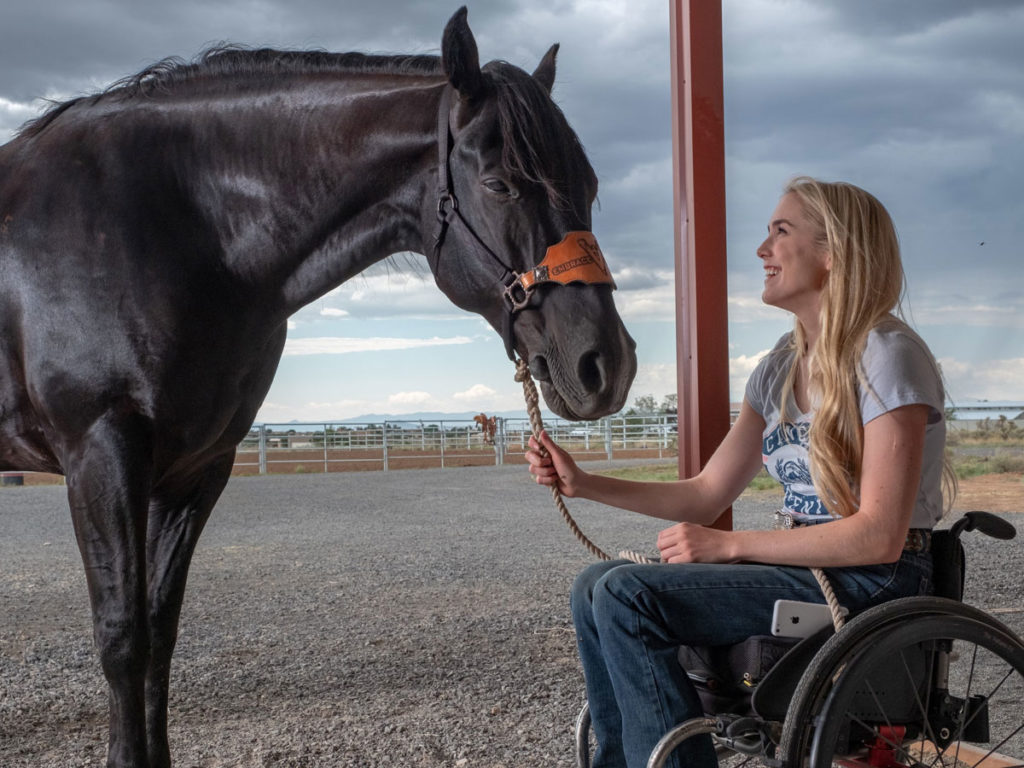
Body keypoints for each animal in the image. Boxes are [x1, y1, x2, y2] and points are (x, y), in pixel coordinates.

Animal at [0, 7, 634, 768]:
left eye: (591, 184)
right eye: (502, 184)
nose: (606, 365)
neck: (172, 225)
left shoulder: (194, 469)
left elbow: (160, 632)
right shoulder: (101, 451)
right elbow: (124, 640)